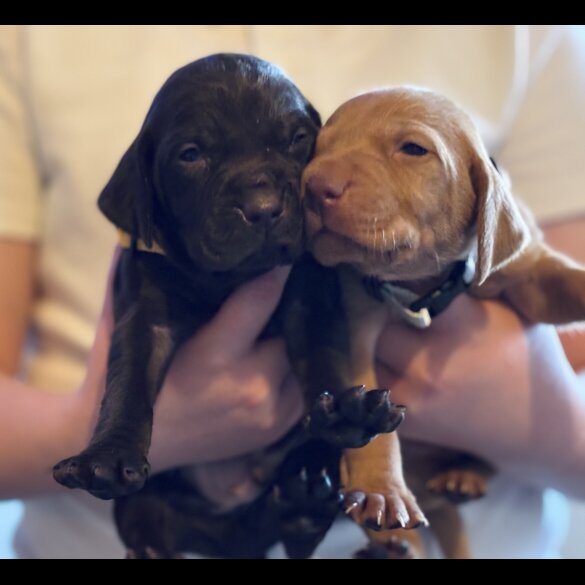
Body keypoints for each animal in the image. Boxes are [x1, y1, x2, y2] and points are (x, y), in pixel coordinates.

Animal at [52, 54, 404, 556]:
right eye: (191, 154)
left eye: (298, 139)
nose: (263, 207)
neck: (225, 279)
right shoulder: (145, 312)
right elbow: (128, 380)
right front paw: (107, 456)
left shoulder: (307, 294)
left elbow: (321, 354)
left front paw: (343, 411)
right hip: (150, 510)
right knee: (154, 527)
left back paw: (306, 499)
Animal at [302, 86, 584, 556]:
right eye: (318, 147)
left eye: (413, 149)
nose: (313, 185)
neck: (425, 285)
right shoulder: (356, 322)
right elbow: (370, 415)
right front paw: (383, 490)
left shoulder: (526, 268)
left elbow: (562, 279)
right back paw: (395, 543)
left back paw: (462, 476)